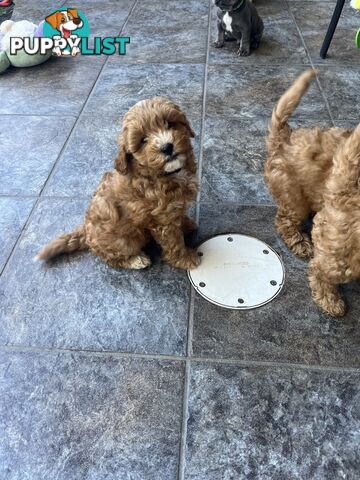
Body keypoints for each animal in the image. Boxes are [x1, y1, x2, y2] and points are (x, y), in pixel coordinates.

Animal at [37, 97, 201, 270]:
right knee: (111, 258)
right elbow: (174, 242)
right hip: (124, 242)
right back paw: (136, 260)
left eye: (170, 124)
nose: (167, 147)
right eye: (143, 140)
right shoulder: (162, 219)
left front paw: (186, 223)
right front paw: (186, 259)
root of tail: (85, 232)